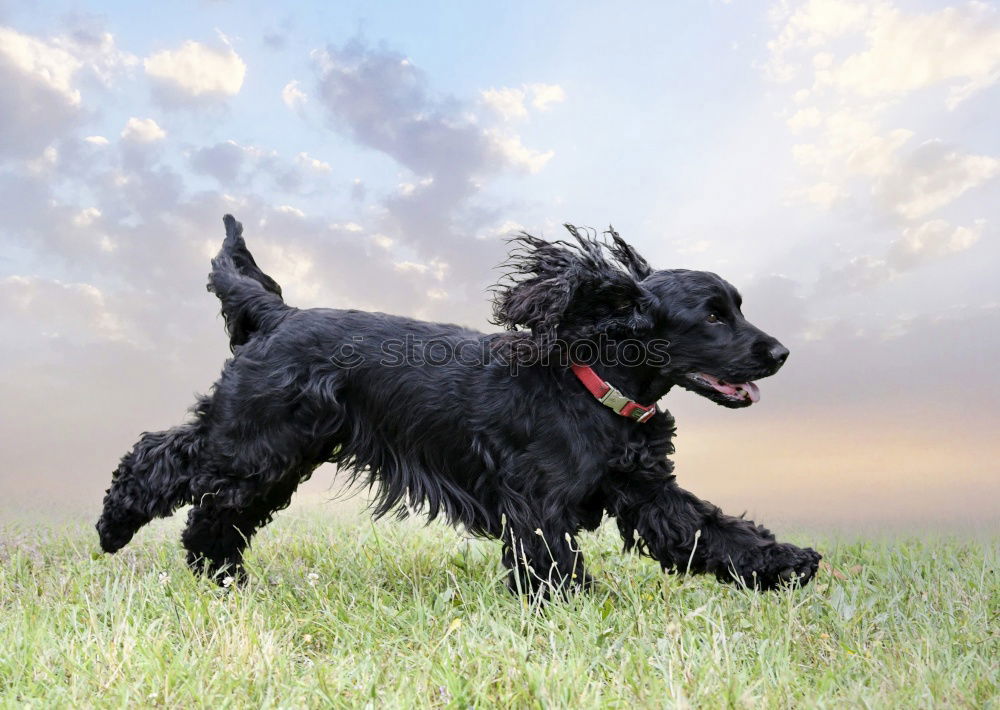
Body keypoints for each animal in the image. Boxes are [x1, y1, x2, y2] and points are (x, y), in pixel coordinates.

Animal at [97, 216, 820, 596]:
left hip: (277, 461)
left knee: (215, 513)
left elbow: (710, 530)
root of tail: (278, 314)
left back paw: (220, 577)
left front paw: (787, 562)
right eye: (714, 315)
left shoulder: (647, 491)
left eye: (737, 306)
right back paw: (113, 527)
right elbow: (553, 564)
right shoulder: (539, 506)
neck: (588, 381)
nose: (782, 352)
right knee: (157, 458)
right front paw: (573, 608)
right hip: (251, 442)